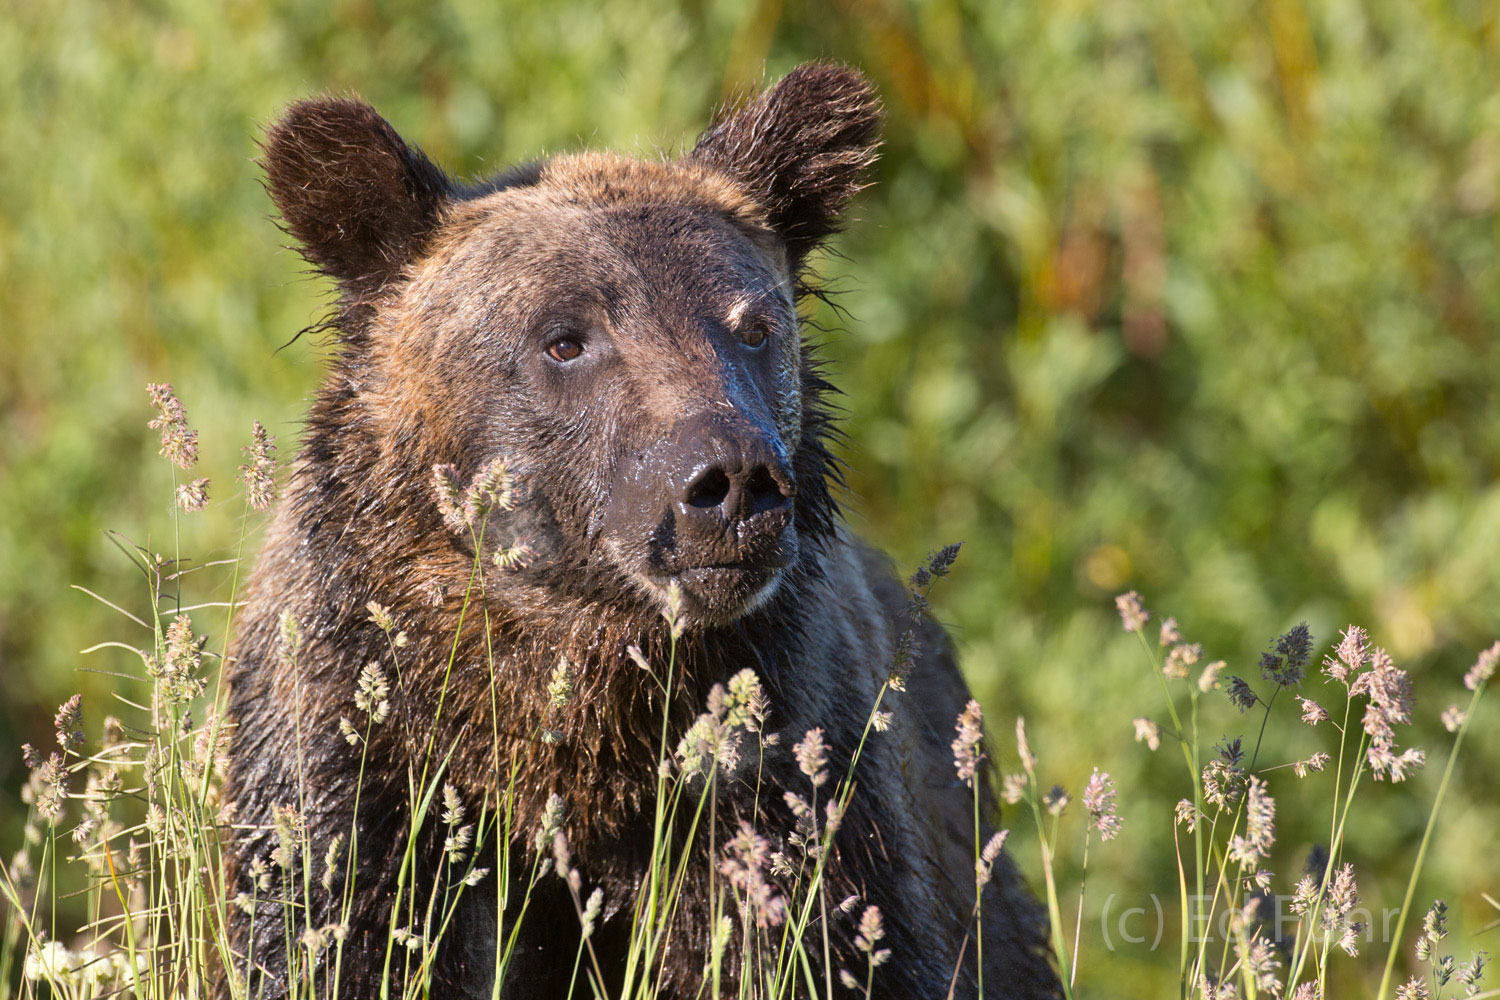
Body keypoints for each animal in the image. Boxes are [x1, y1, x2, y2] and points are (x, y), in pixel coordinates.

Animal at [228, 64, 1062, 1000]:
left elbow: (812, 940)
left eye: (754, 326)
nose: (732, 482)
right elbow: (338, 930)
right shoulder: (359, 758)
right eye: (564, 338)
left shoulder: (777, 779)